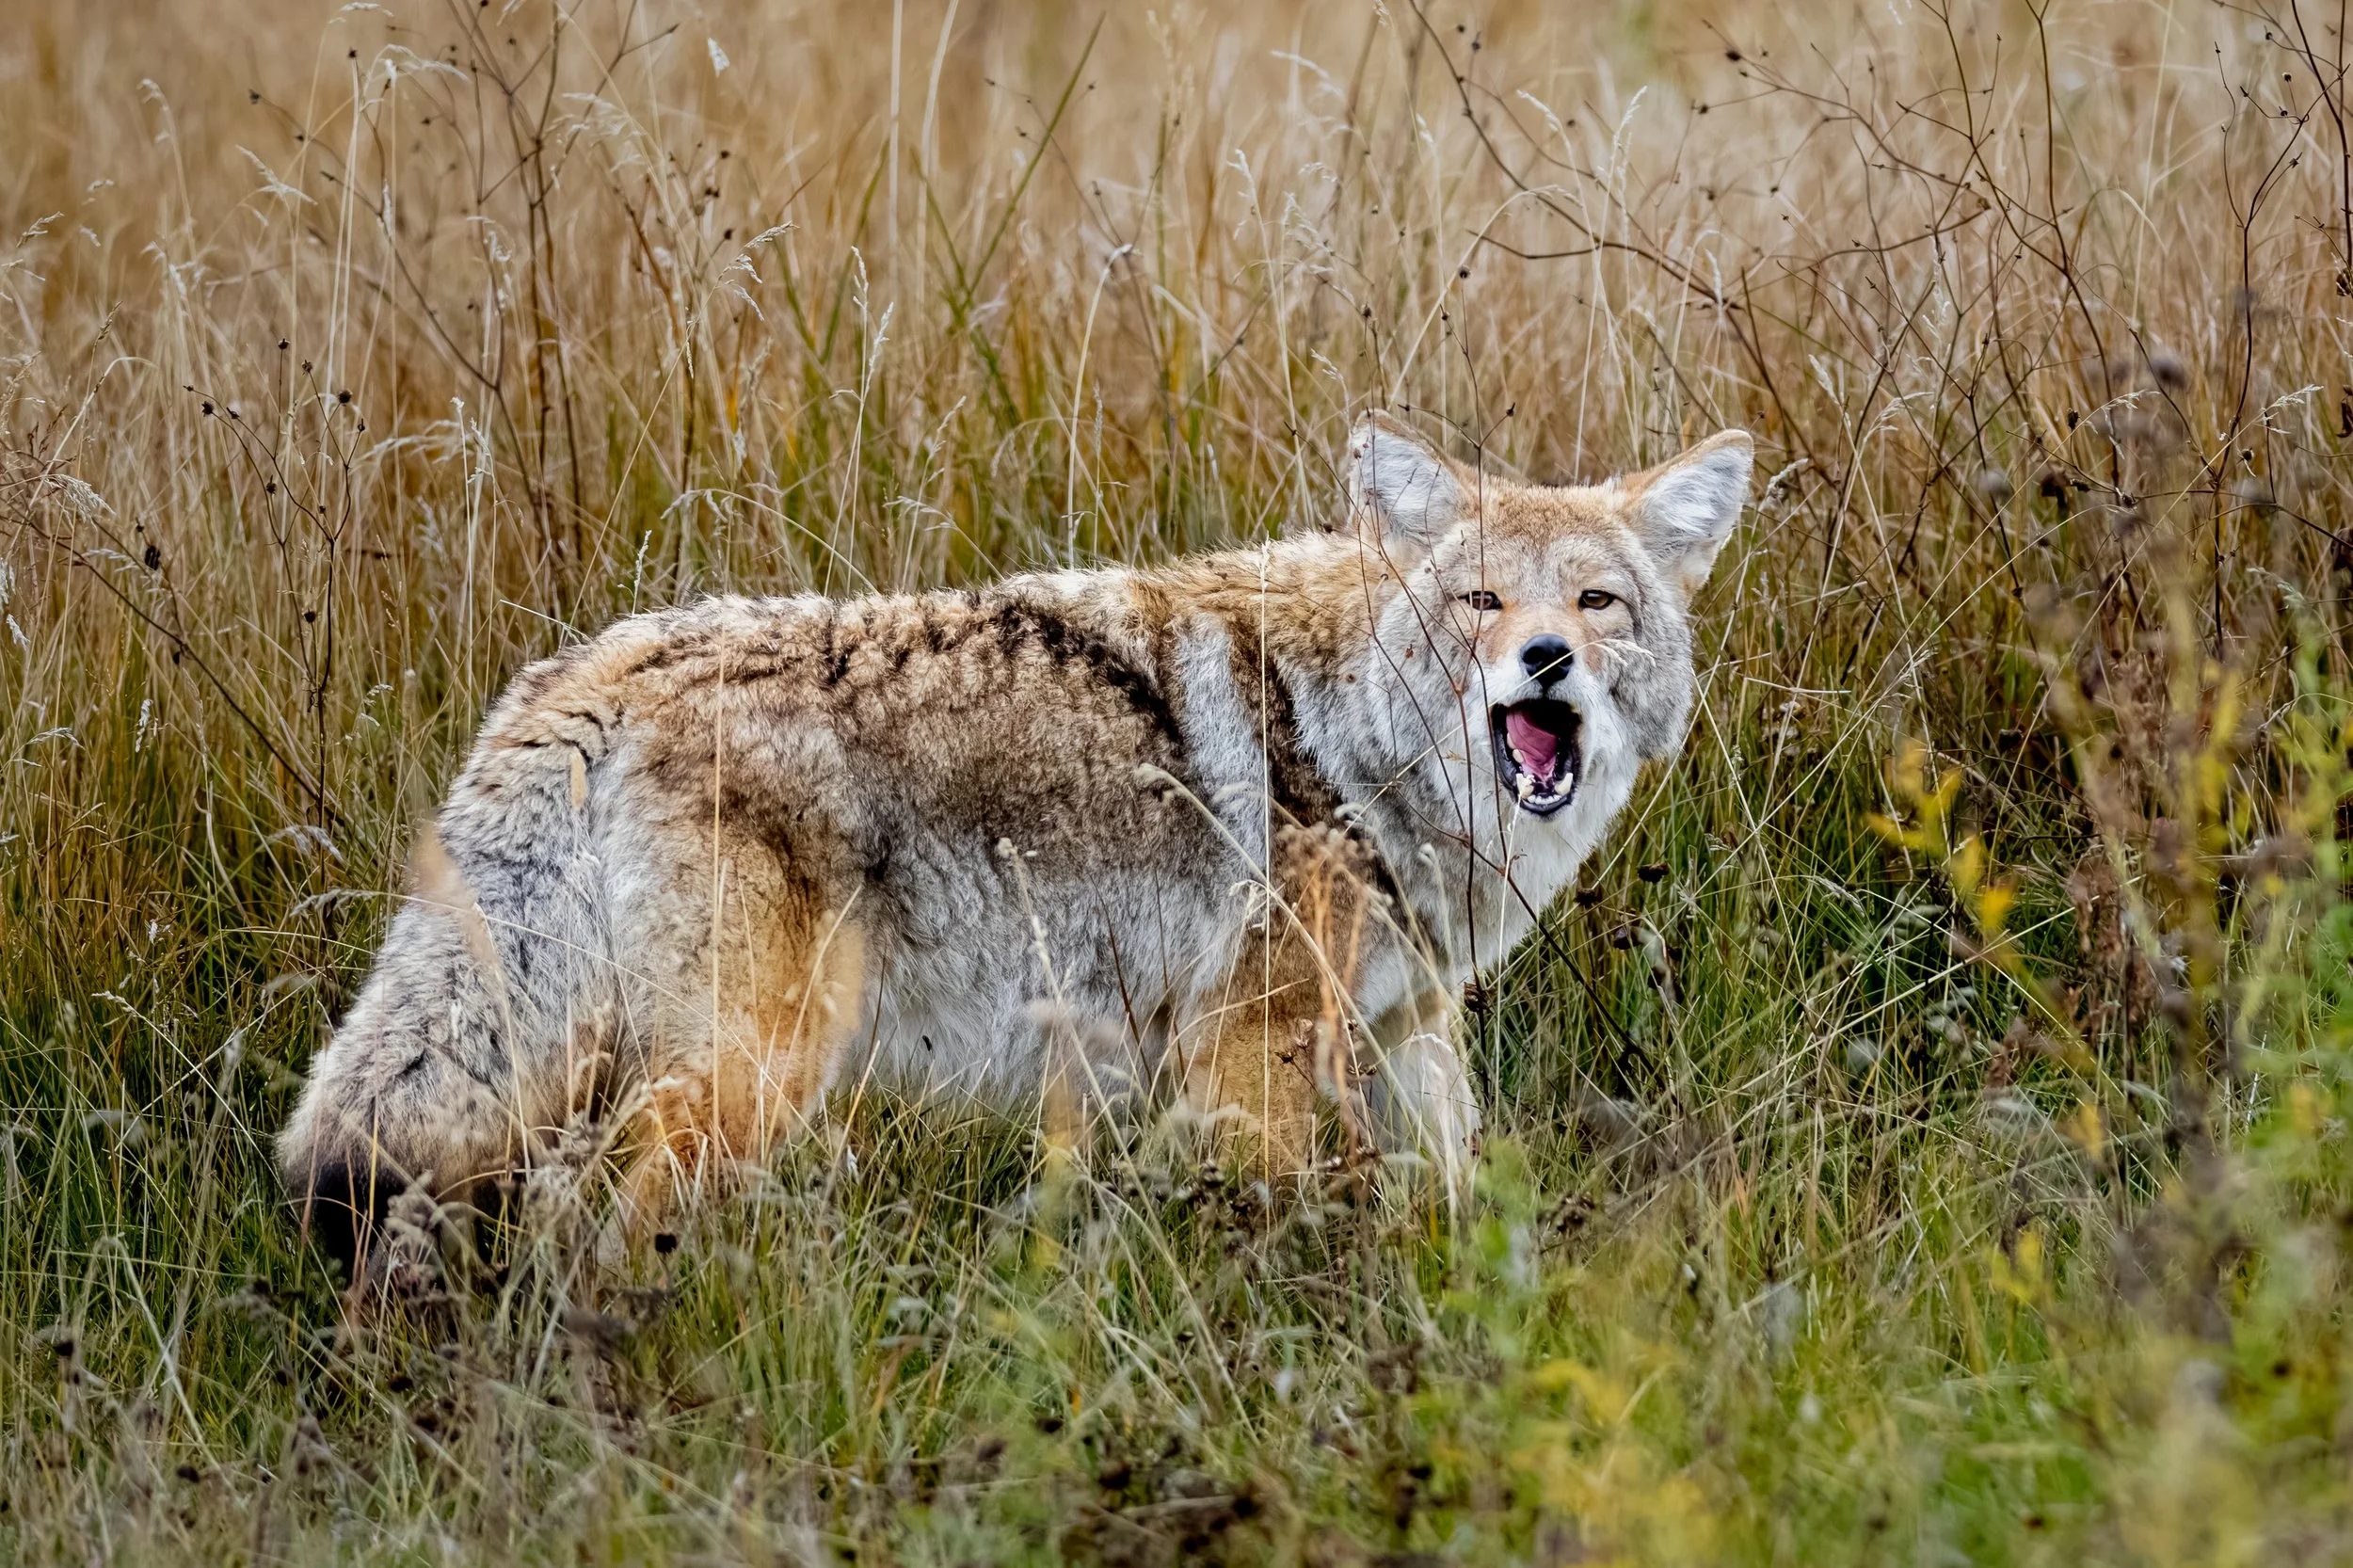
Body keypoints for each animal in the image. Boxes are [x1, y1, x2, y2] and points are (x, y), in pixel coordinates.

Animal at [279, 413, 1750, 1275]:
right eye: (1483, 600)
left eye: (1597, 603)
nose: (1545, 661)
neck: (1357, 744)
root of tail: (592, 671)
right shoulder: (1247, 1053)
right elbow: (1288, 1230)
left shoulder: (1405, 1033)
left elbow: (1454, 1199)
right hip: (749, 1077)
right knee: (579, 1223)